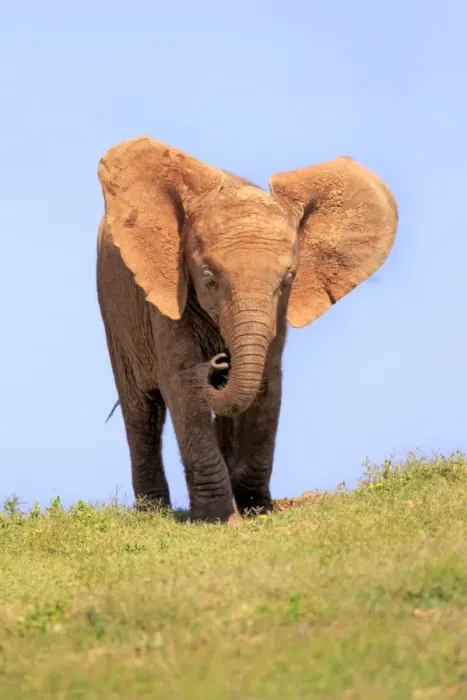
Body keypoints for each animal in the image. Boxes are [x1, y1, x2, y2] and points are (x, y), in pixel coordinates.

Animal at [96, 135, 398, 523]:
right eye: (209, 280)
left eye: (287, 279)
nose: (219, 362)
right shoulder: (166, 294)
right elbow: (181, 381)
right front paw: (219, 519)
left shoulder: (278, 312)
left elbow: (267, 382)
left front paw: (257, 509)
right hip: (114, 309)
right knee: (142, 409)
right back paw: (153, 512)